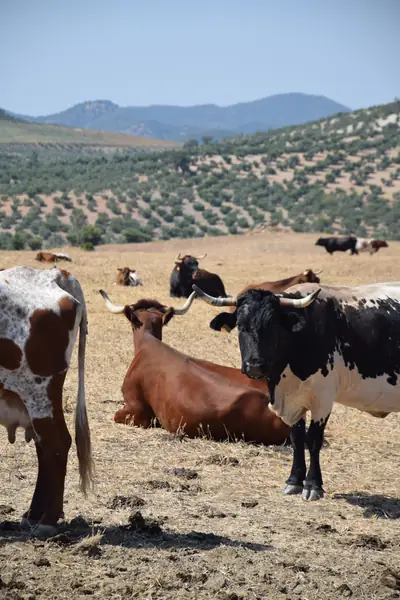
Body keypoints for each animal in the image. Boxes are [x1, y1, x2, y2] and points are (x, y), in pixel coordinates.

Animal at [0, 264, 93, 536]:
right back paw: (34, 514)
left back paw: (47, 520)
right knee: (46, 447)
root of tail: (54, 275)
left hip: (39, 391)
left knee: (56, 443)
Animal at [192, 282, 398, 502]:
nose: (255, 366)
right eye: (240, 325)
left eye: (273, 325)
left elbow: (313, 440)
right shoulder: (293, 402)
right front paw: (294, 481)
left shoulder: (322, 399)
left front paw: (313, 485)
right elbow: (296, 438)